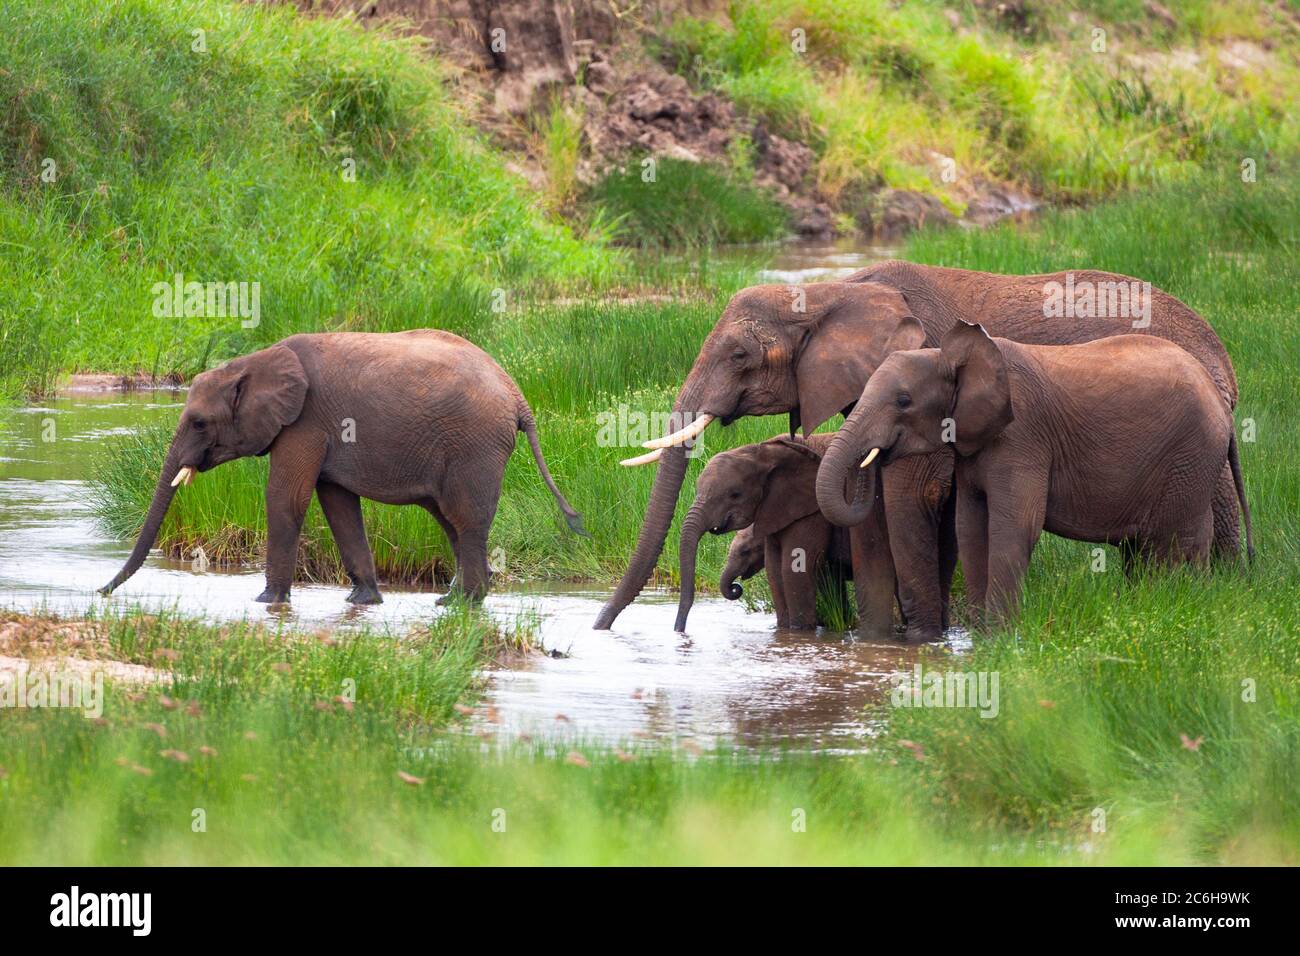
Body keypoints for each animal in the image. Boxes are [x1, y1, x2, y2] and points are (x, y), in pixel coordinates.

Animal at [98, 330, 587, 606]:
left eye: (199, 422)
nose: (99, 593)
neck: (256, 361)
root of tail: (519, 396)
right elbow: (337, 505)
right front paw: (364, 601)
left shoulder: (305, 421)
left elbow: (286, 498)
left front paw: (266, 602)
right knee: (451, 521)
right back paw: (457, 600)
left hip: (475, 446)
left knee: (465, 520)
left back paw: (460, 605)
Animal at [670, 434, 894, 634]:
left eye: (734, 494)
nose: (736, 588)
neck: (764, 451)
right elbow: (774, 569)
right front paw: (783, 631)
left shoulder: (814, 509)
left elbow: (793, 568)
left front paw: (799, 634)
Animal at [816, 321, 1253, 629]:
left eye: (903, 401)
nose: (874, 457)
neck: (949, 354)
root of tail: (1222, 403)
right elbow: (971, 527)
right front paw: (982, 637)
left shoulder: (1022, 438)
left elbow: (1015, 526)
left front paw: (1000, 636)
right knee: (1151, 547)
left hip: (1190, 456)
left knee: (1174, 544)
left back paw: (1181, 604)